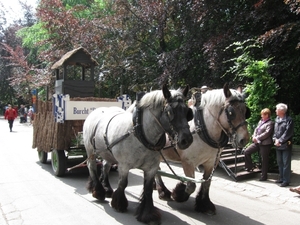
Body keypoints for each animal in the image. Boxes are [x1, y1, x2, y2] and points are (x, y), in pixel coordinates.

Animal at [83, 84, 193, 223]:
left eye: (187, 112)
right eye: (169, 112)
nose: (186, 140)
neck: (139, 133)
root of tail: (96, 111)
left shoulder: (151, 168)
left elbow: (148, 189)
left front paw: (147, 214)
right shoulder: (124, 166)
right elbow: (123, 184)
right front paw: (119, 204)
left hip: (107, 152)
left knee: (105, 166)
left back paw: (107, 189)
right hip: (90, 150)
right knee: (91, 166)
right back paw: (99, 191)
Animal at [155, 82, 251, 214]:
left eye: (246, 111)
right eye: (231, 112)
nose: (244, 139)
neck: (202, 128)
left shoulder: (211, 162)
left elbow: (207, 182)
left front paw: (204, 204)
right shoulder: (188, 162)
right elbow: (191, 186)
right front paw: (178, 194)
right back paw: (163, 192)